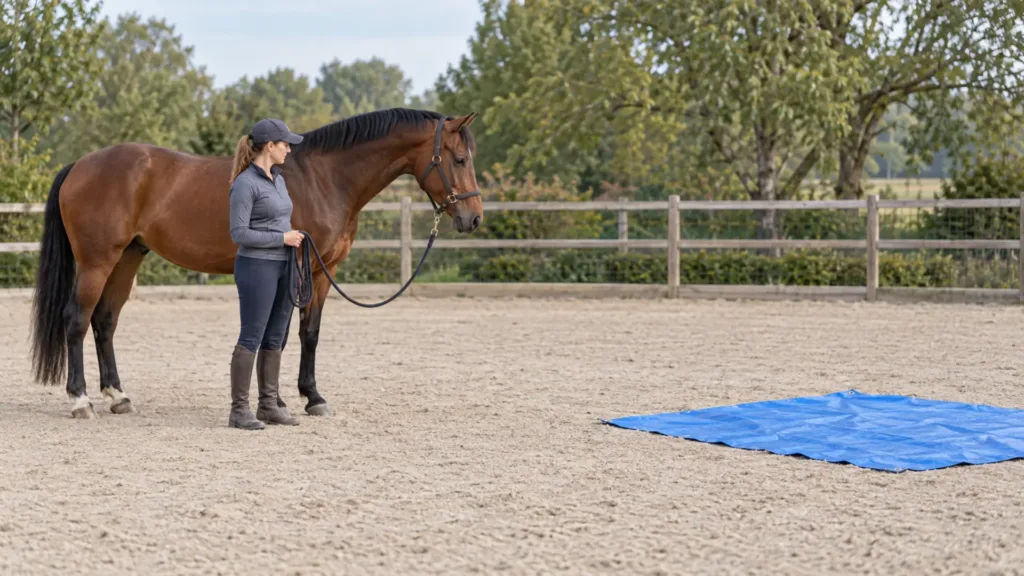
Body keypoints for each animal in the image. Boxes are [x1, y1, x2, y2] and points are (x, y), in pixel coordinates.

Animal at [29, 108, 483, 420]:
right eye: (460, 159)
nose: (474, 218)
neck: (324, 177)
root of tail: (80, 165)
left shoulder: (322, 273)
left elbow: (306, 334)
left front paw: (307, 398)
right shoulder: (298, 268)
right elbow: (282, 337)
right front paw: (290, 399)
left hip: (127, 258)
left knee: (105, 322)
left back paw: (118, 396)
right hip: (97, 261)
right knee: (76, 320)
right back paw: (80, 400)